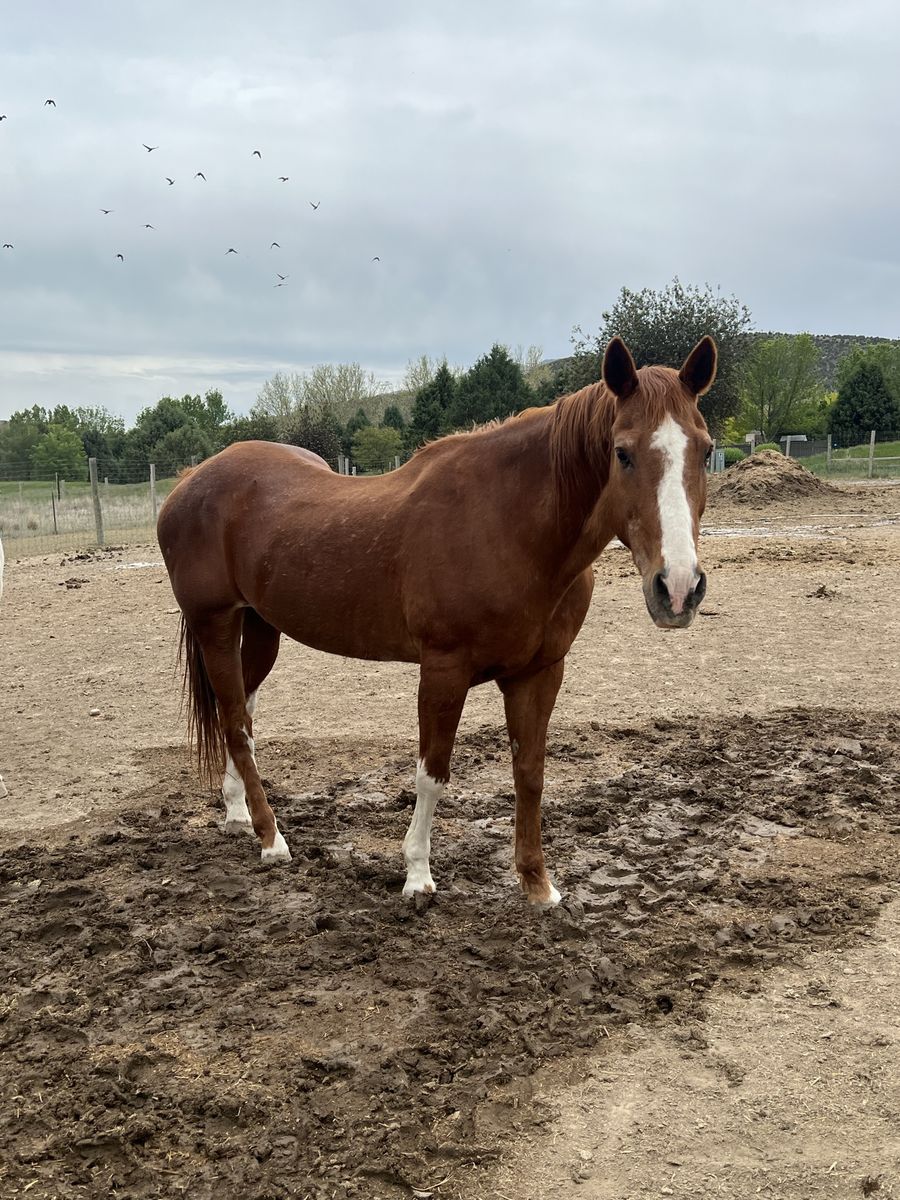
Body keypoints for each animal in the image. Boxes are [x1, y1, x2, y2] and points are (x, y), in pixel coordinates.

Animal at [157, 335, 716, 905]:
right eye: (622, 452)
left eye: (704, 449)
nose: (677, 588)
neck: (509, 526)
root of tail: (189, 481)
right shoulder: (444, 670)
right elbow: (433, 773)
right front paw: (417, 876)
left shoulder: (539, 673)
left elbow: (530, 772)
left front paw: (538, 885)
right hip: (215, 624)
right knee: (233, 720)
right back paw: (271, 839)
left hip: (261, 627)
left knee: (242, 716)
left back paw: (237, 814)